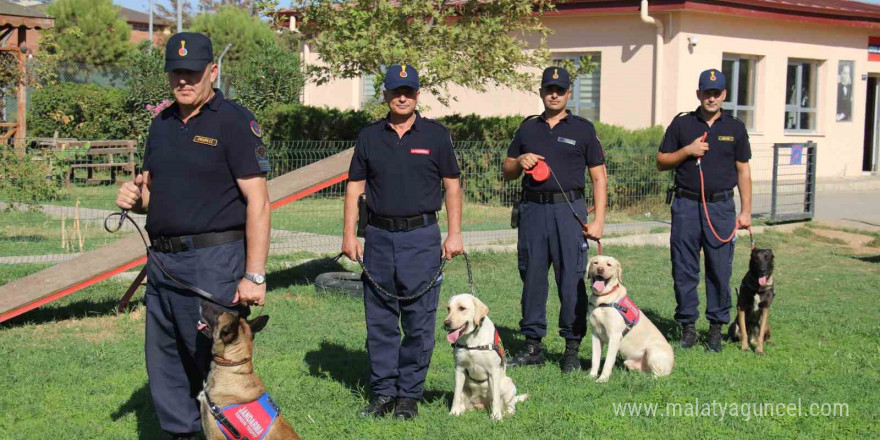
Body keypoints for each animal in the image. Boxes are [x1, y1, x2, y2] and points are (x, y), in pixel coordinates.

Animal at [444, 294, 524, 422]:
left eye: (462, 308)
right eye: (448, 308)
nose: (446, 323)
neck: (472, 339)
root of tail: (482, 405)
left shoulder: (494, 371)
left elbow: (496, 398)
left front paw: (496, 416)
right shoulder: (459, 369)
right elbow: (456, 395)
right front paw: (454, 412)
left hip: (508, 384)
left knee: (511, 406)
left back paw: (506, 413)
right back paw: (461, 410)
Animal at [588, 254, 676, 382]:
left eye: (609, 264)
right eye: (595, 263)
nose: (600, 269)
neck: (603, 299)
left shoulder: (614, 336)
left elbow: (608, 362)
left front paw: (602, 379)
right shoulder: (595, 335)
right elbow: (595, 359)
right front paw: (591, 376)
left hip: (652, 350)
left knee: (659, 376)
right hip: (629, 362)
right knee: (644, 371)